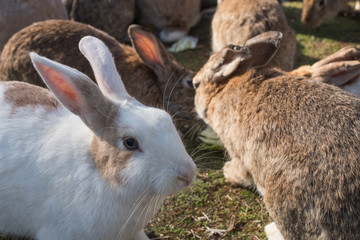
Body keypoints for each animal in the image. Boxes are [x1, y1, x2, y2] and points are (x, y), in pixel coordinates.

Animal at [194, 31, 360, 239]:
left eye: (196, 84)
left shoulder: (238, 153)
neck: (223, 89)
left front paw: (228, 171)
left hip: (285, 199)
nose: (194, 97)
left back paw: (271, 230)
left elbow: (241, 172)